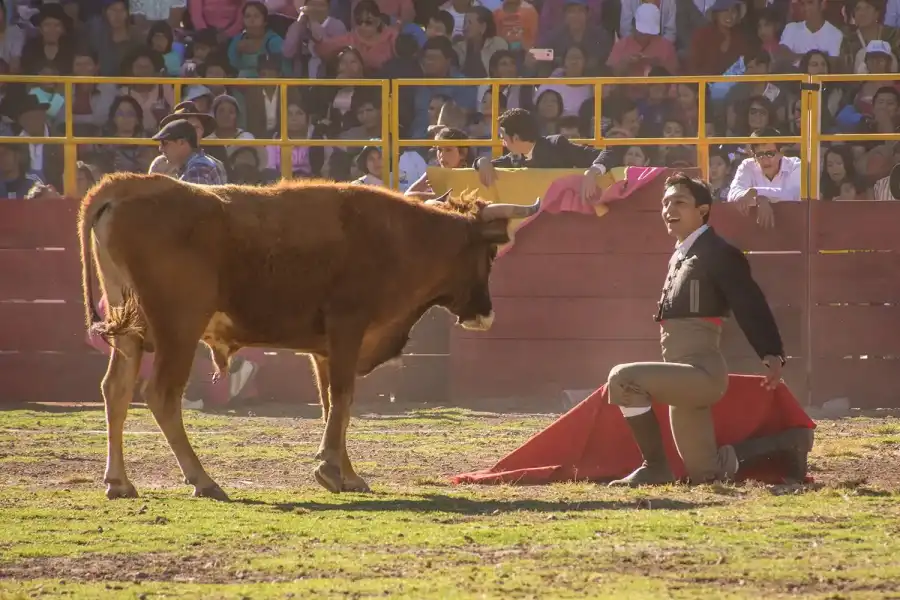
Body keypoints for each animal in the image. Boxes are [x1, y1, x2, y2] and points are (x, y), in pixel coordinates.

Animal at [79, 173, 540, 502]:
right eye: (491, 253)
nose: (486, 314)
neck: (402, 237)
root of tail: (124, 187)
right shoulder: (348, 327)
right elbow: (344, 398)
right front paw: (331, 469)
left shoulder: (324, 348)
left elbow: (331, 404)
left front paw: (346, 474)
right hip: (179, 327)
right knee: (161, 395)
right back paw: (203, 480)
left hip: (131, 332)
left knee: (115, 390)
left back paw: (119, 482)